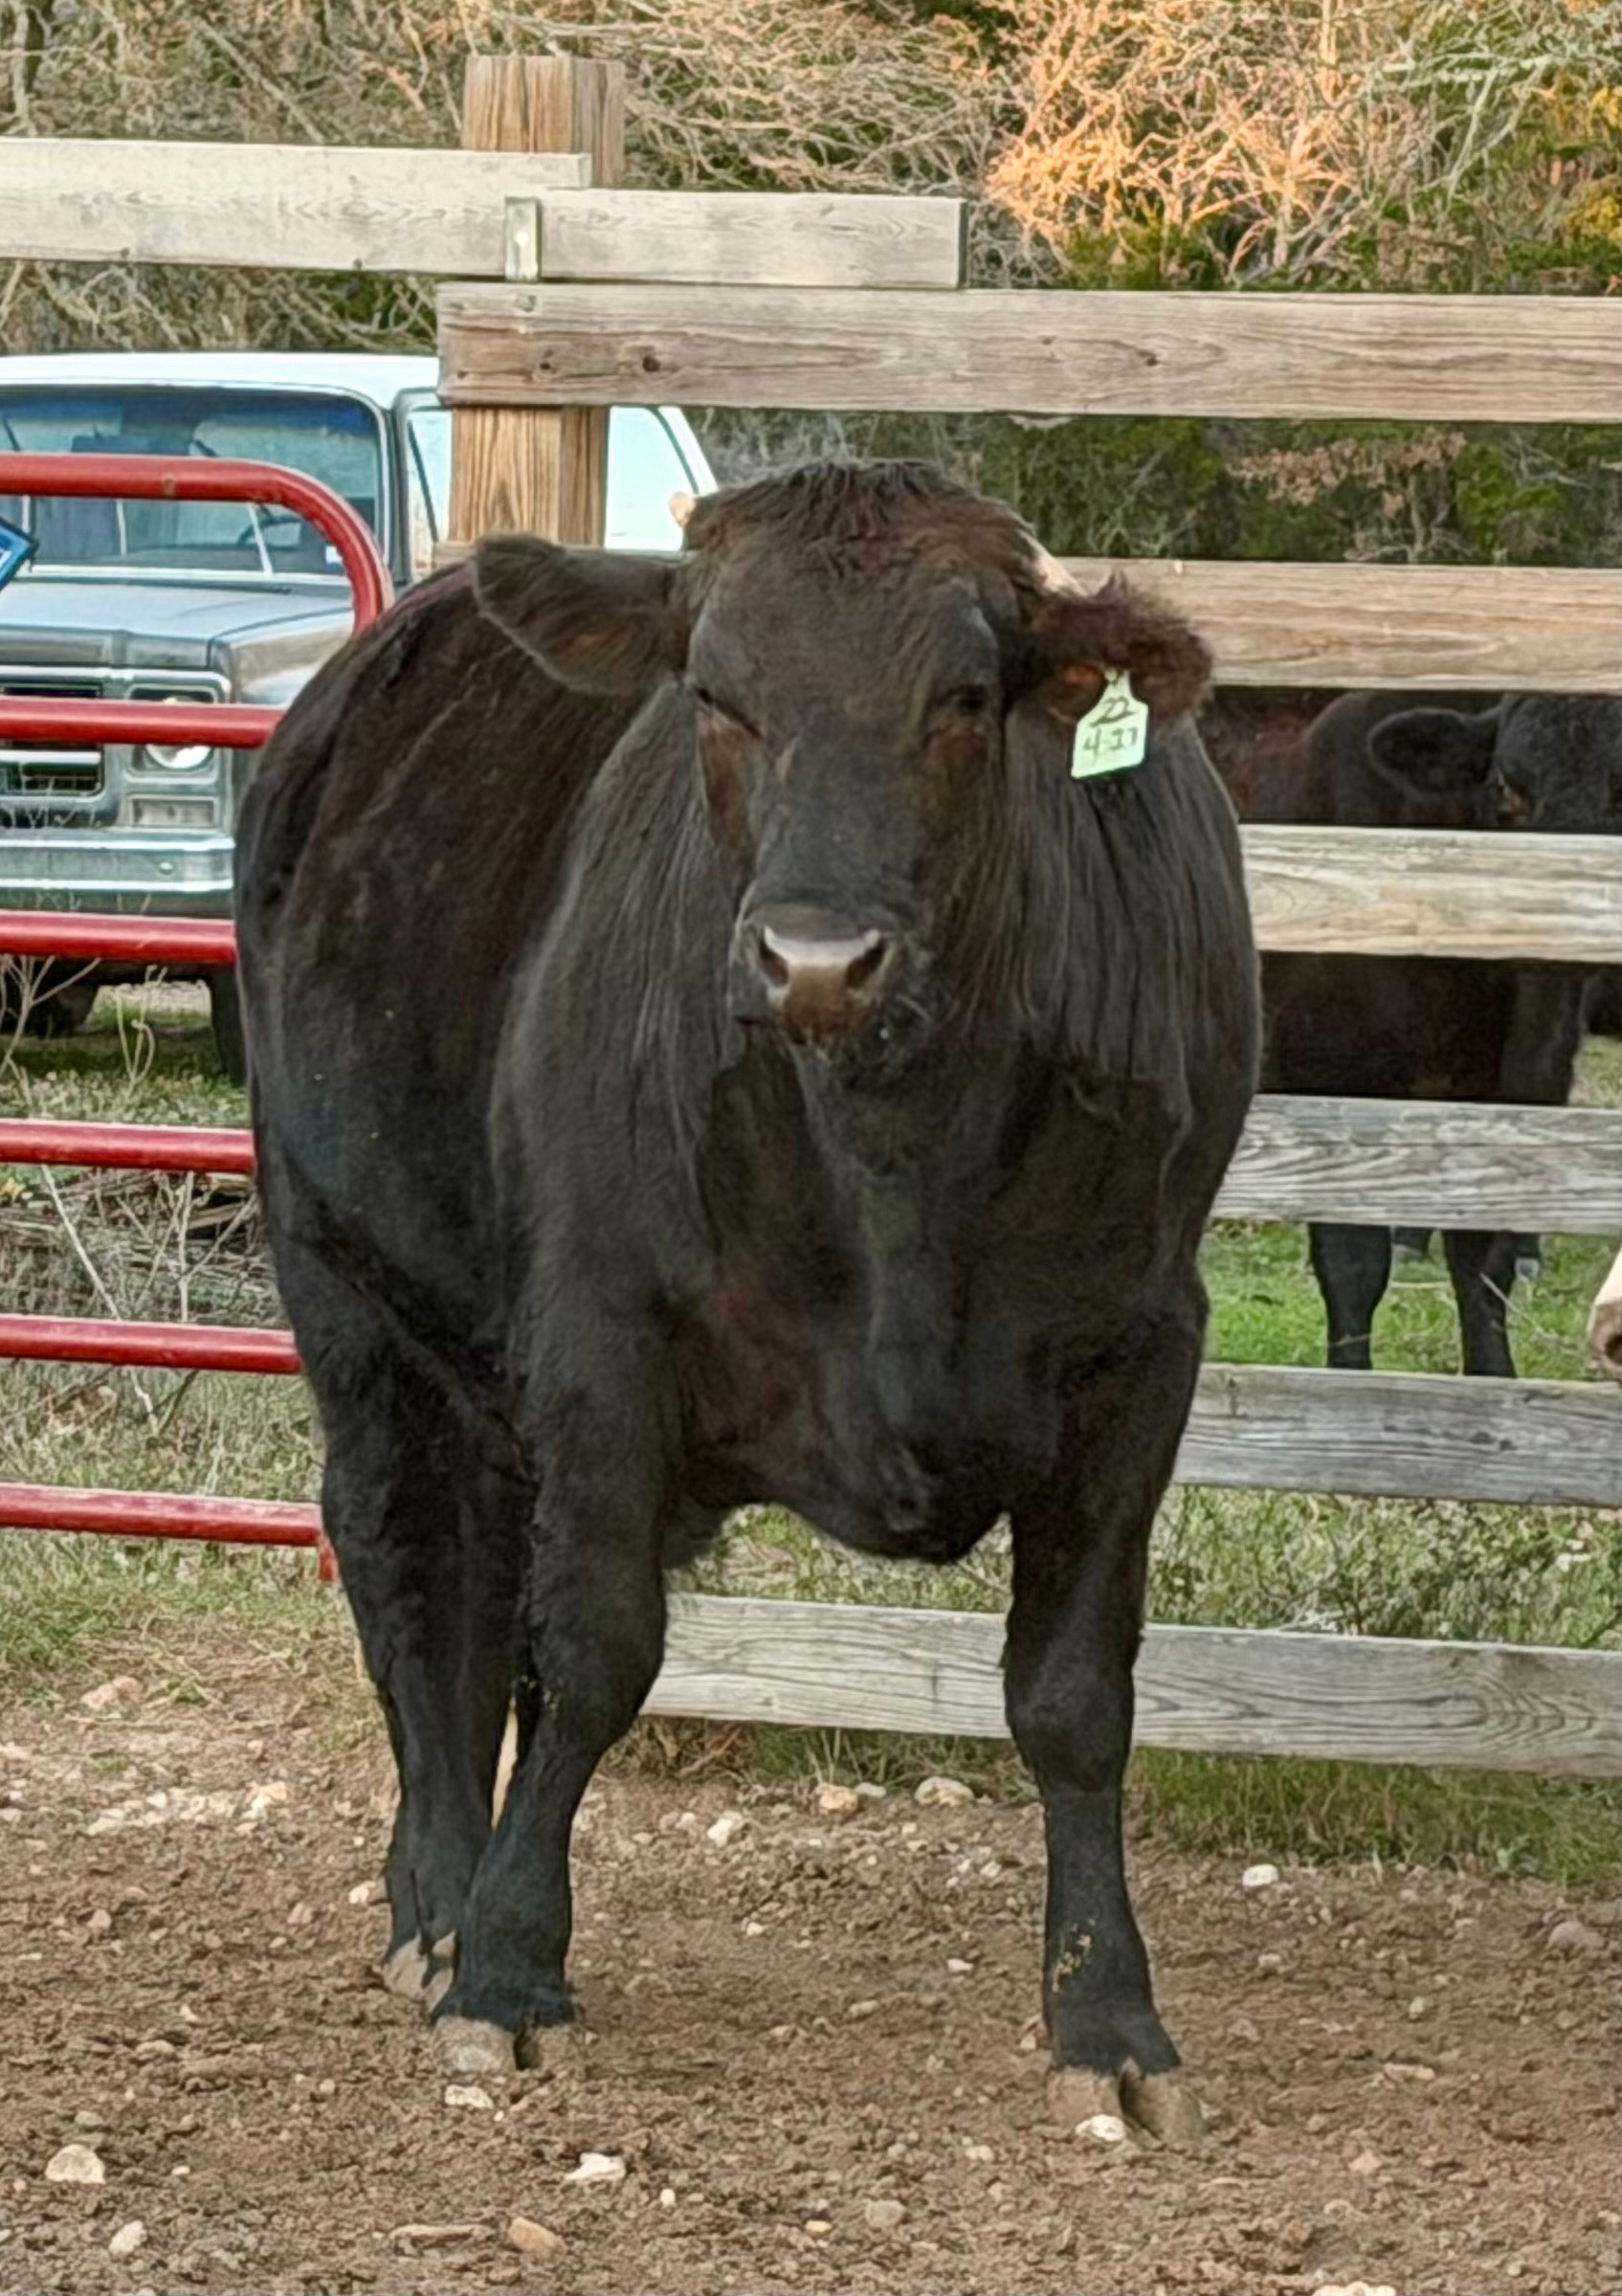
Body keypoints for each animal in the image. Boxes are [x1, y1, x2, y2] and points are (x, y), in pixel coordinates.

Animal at [235, 462, 1258, 2142]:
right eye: (715, 694)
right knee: (404, 1561)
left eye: (962, 696)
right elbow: (594, 1649)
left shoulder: (1141, 1352)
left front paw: (1108, 2015)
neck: (900, 1154)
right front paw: (504, 1976)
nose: (815, 959)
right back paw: (438, 1904)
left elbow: (1072, 1697)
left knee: (478, 1589)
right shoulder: (600, 1333)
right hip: (343, 1280)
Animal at [1213, 690, 1620, 1377]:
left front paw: (1493, 1378)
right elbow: (1352, 1262)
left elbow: (1480, 1257)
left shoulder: (1497, 1088)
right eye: (1505, 786)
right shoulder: (1332, 1079)